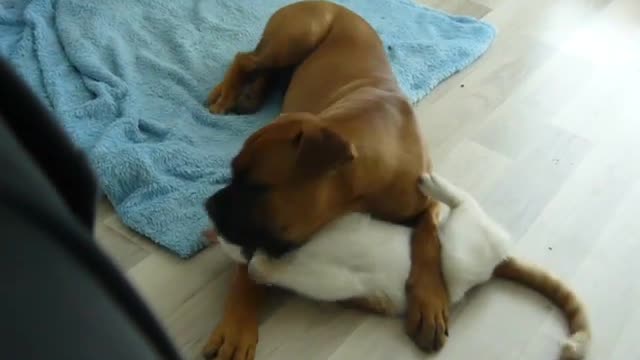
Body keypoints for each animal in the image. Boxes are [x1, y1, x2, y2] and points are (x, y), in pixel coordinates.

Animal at [202, 1, 448, 358]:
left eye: (257, 187)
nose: (208, 206)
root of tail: (333, 5)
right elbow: (246, 272)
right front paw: (236, 326)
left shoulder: (429, 199)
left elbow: (429, 238)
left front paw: (429, 302)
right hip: (300, 34)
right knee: (246, 58)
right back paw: (227, 93)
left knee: (261, 68)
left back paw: (247, 95)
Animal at [214, 173, 592, 358]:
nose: (214, 230)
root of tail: (499, 259)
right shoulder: (334, 280)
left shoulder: (328, 263)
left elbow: (281, 268)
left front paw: (258, 265)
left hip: (457, 246)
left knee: (463, 203)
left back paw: (434, 183)